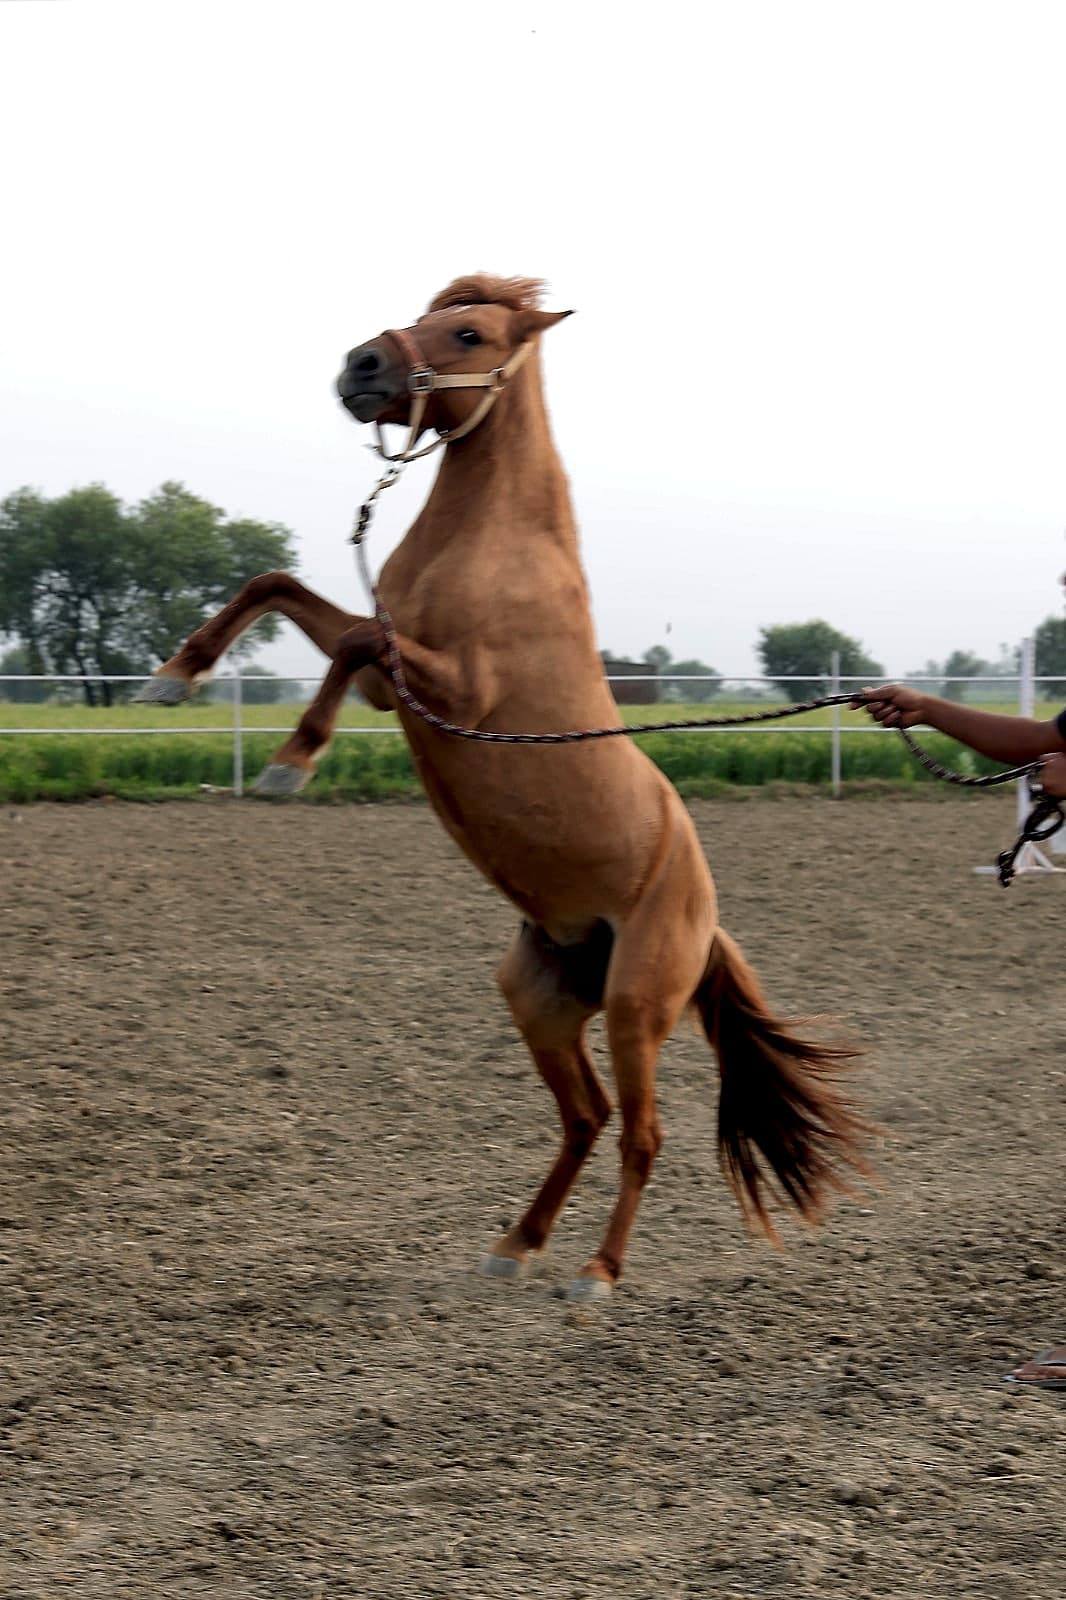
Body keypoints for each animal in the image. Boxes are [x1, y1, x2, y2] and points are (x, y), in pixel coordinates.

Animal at [135, 274, 868, 1299]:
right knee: (587, 1116)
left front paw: (289, 763)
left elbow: (354, 638)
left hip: (638, 1007)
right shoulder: (388, 676)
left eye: (470, 333)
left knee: (643, 1132)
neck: (489, 548)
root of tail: (704, 914)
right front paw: (175, 676)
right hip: (539, 1000)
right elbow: (278, 586)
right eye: (424, 313)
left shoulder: (453, 688)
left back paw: (596, 1276)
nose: (359, 365)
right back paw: (514, 1245)